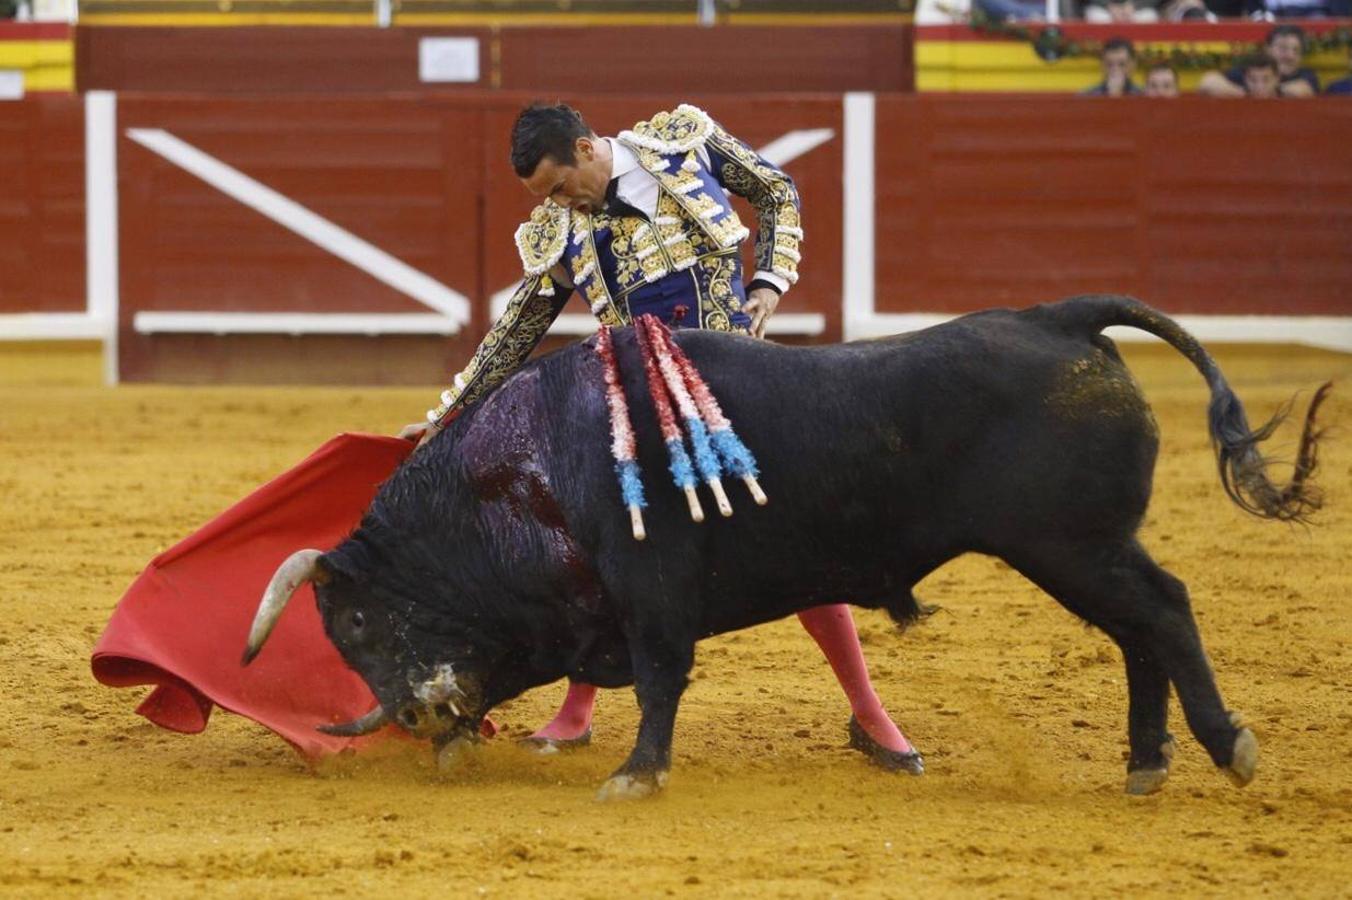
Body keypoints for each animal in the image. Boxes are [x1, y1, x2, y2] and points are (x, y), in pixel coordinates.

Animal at [240, 295, 1319, 800]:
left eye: (358, 618)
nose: (417, 712)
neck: (522, 471)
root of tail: (1060, 319)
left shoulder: (651, 589)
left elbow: (661, 675)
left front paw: (636, 774)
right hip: (1081, 550)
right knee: (1137, 632)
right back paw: (1143, 763)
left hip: (1069, 543)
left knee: (1163, 610)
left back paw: (1223, 747)